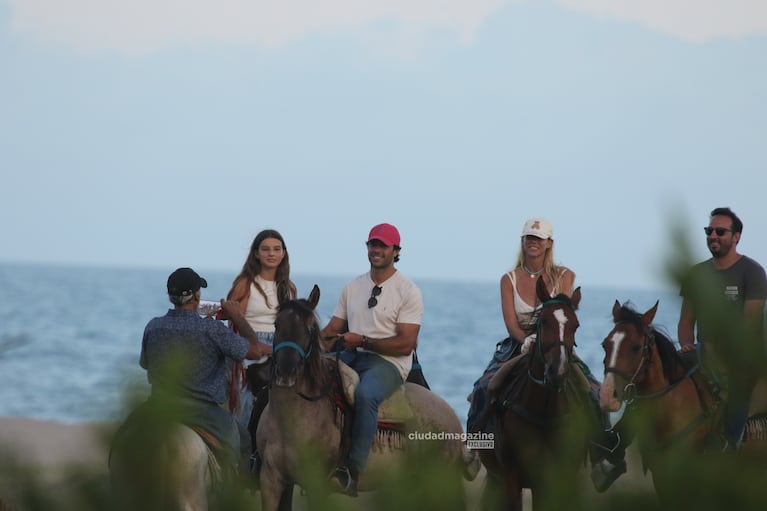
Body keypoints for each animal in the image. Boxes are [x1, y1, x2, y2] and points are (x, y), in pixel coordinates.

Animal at [258, 286, 480, 511]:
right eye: (276, 325)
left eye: (309, 329)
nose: (286, 373)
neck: (292, 419)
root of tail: (452, 416)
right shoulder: (272, 482)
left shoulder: (316, 485)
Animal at [480, 278, 592, 511]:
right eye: (544, 322)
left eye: (576, 326)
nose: (558, 372)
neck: (544, 412)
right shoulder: (512, 478)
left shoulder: (558, 477)